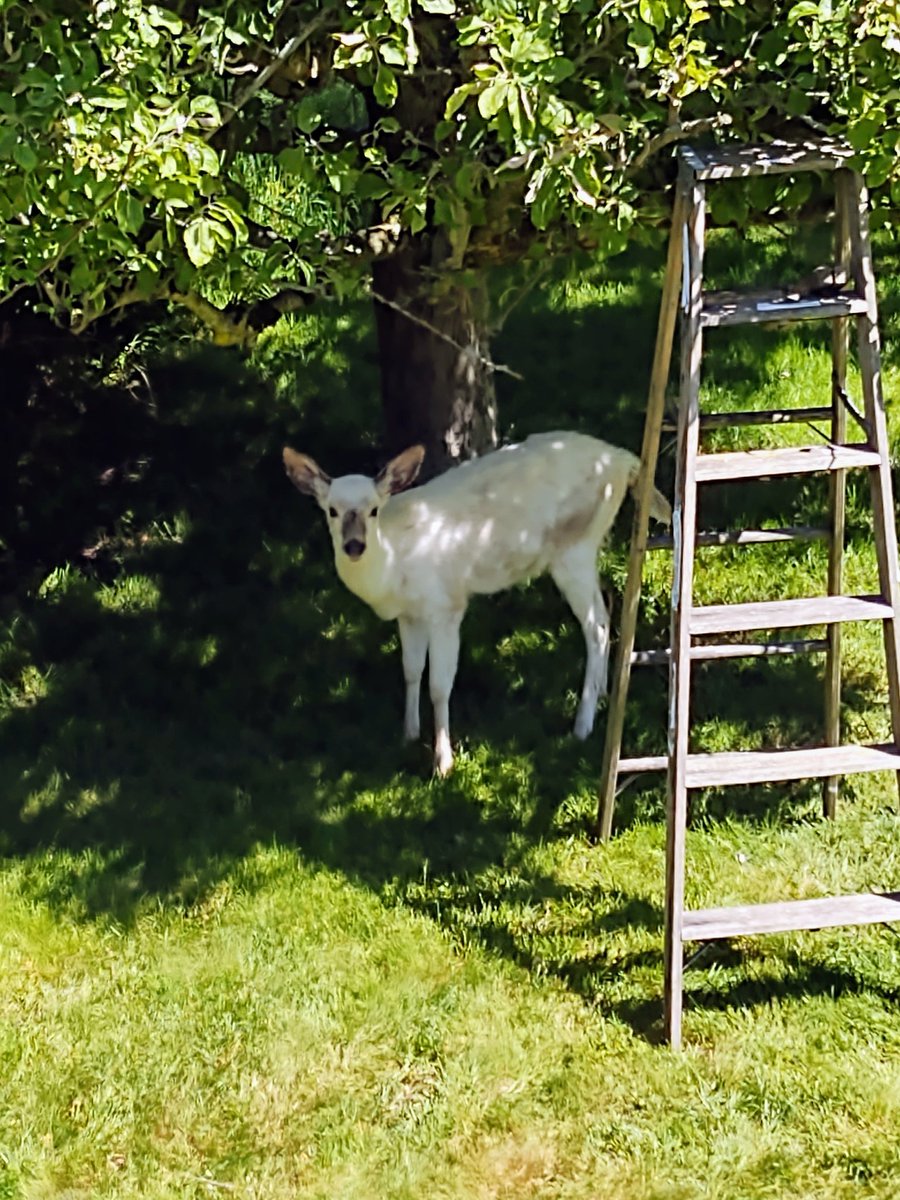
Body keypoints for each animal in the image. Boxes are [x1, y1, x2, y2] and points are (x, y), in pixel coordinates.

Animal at [285, 432, 672, 777]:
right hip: (590, 544)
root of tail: (622, 459)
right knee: (606, 604)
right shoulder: (410, 615)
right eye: (332, 511)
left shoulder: (446, 604)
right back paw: (604, 692)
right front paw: (408, 734)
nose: (354, 546)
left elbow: (439, 685)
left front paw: (443, 762)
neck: (395, 566)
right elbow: (411, 671)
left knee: (597, 625)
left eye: (374, 510)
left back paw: (582, 725)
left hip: (573, 545)